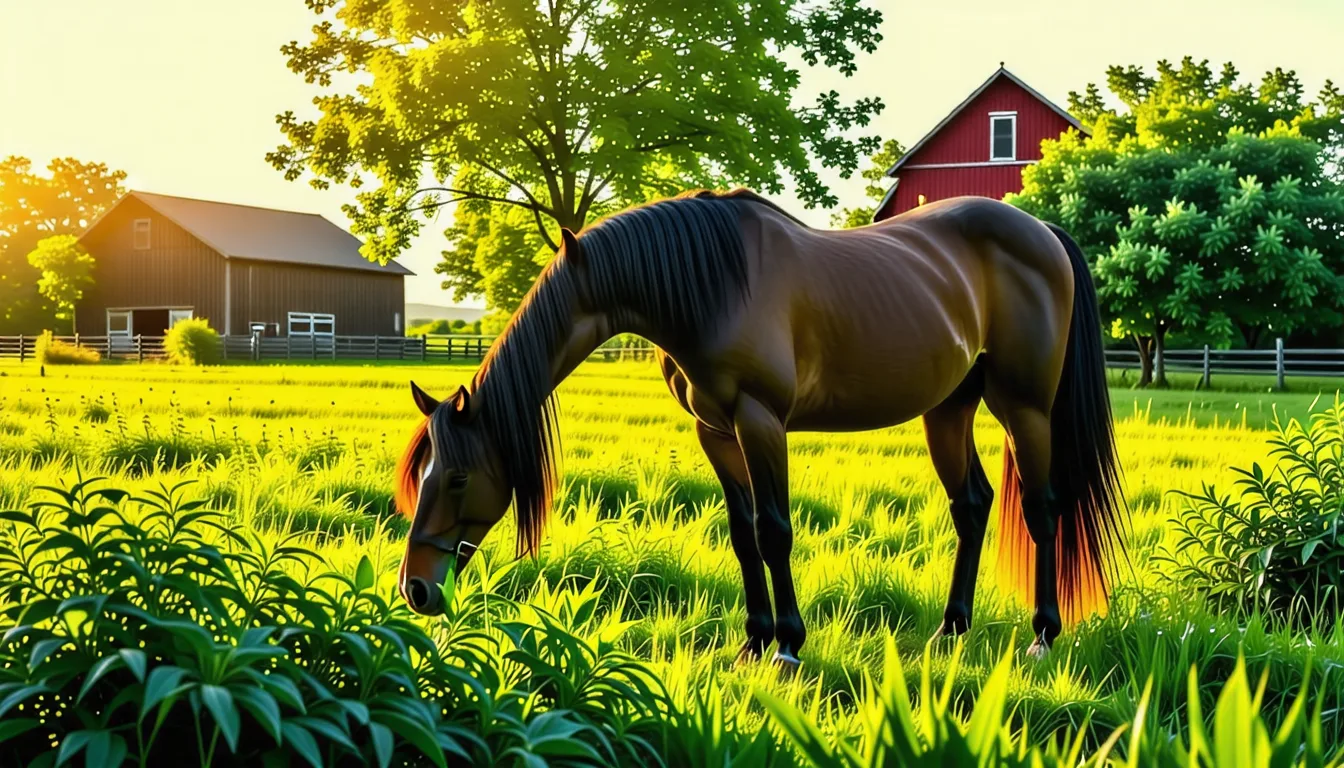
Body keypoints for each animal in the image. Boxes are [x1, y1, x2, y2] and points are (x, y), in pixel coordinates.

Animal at [393, 189, 1127, 666]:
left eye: (456, 477)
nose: (416, 588)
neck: (710, 286)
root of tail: (1042, 232)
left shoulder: (760, 421)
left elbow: (775, 530)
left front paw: (790, 646)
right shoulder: (716, 432)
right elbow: (743, 533)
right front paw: (752, 639)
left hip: (1024, 408)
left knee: (1042, 509)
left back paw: (1042, 635)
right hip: (948, 408)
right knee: (972, 505)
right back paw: (951, 632)